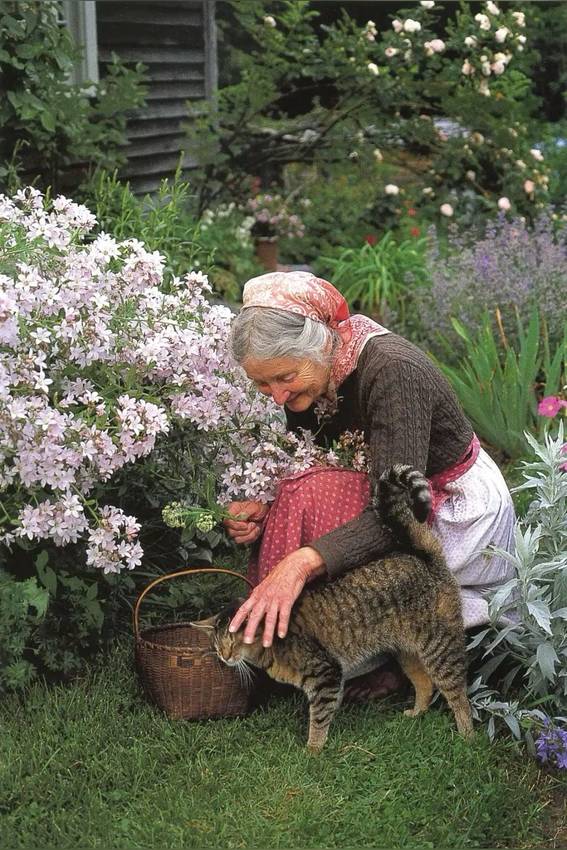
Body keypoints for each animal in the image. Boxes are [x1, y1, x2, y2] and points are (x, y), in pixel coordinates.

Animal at [193, 468, 472, 752]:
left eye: (234, 640)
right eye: (217, 645)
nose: (224, 656)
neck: (268, 648)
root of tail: (426, 559)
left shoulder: (326, 675)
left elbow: (319, 718)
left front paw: (312, 751)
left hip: (440, 650)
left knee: (459, 695)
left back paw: (466, 736)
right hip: (407, 653)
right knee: (425, 683)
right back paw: (416, 713)